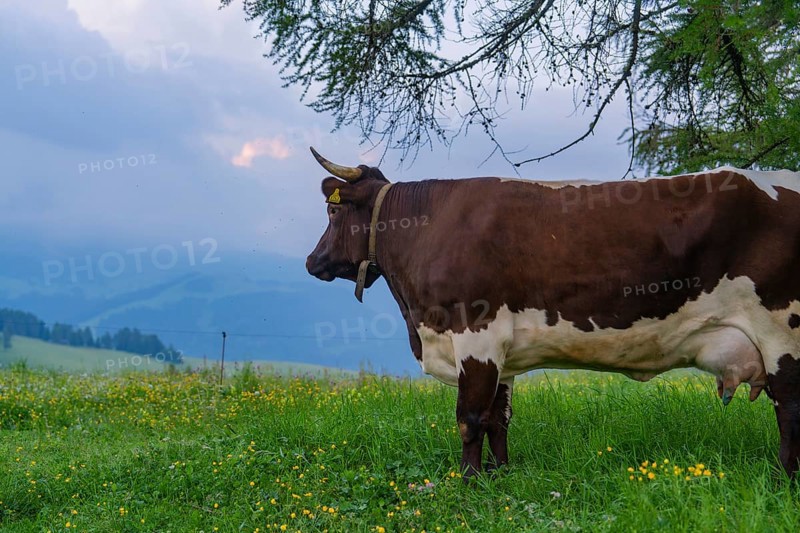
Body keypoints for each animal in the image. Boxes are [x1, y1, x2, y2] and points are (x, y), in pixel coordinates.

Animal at [305, 146, 800, 480]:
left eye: (333, 210)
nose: (312, 262)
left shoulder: (476, 333)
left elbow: (469, 418)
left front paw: (467, 482)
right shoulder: (500, 351)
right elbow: (497, 418)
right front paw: (499, 477)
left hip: (782, 330)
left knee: (789, 405)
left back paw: (784, 478)